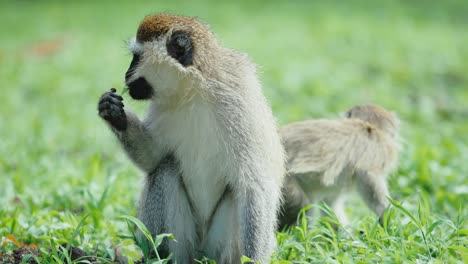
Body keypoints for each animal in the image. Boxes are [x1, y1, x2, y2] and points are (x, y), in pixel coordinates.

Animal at [97, 13, 284, 262]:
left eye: (136, 57)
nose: (125, 74)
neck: (194, 90)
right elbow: (153, 157)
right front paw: (114, 113)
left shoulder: (238, 104)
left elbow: (255, 186)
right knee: (165, 169)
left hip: (217, 244)